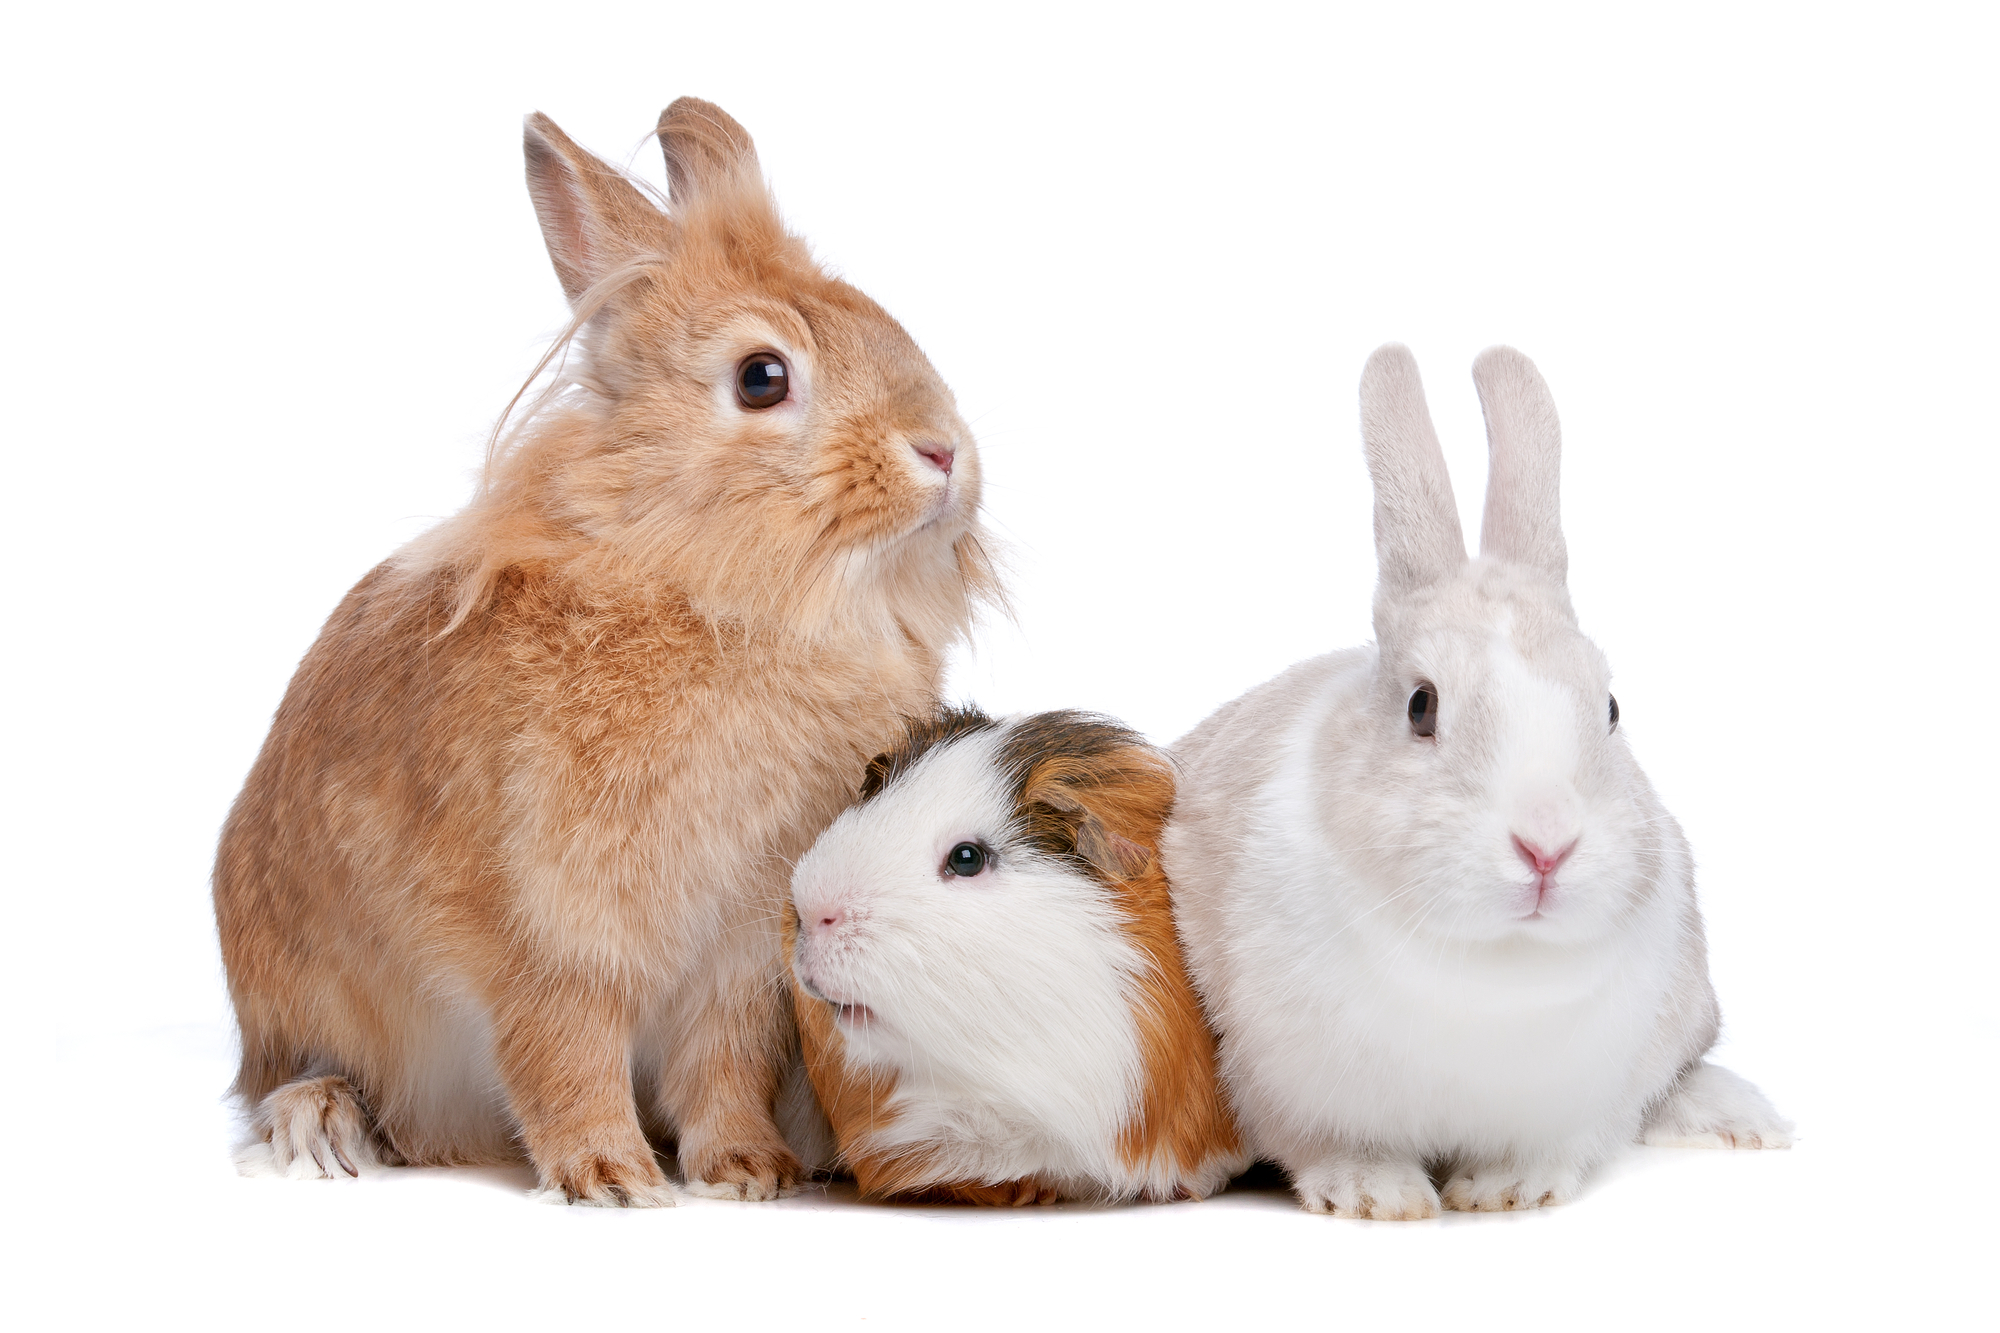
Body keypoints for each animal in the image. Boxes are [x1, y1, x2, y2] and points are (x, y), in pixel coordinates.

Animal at [213, 101, 1000, 1200]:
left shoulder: (741, 958)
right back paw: (319, 1125)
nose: (944, 452)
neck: (698, 583)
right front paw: (610, 1175)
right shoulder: (548, 933)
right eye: (763, 378)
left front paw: (744, 1170)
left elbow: (720, 1065)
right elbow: (563, 1052)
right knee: (299, 1075)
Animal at [1160, 342, 1800, 1216]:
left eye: (1610, 706)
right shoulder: (1281, 1081)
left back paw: (1744, 1120)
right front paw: (1378, 1195)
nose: (1547, 846)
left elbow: (1551, 1147)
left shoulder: (1583, 1098)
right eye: (1421, 706)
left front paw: (1507, 1190)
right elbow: (1330, 1144)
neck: (1492, 964)